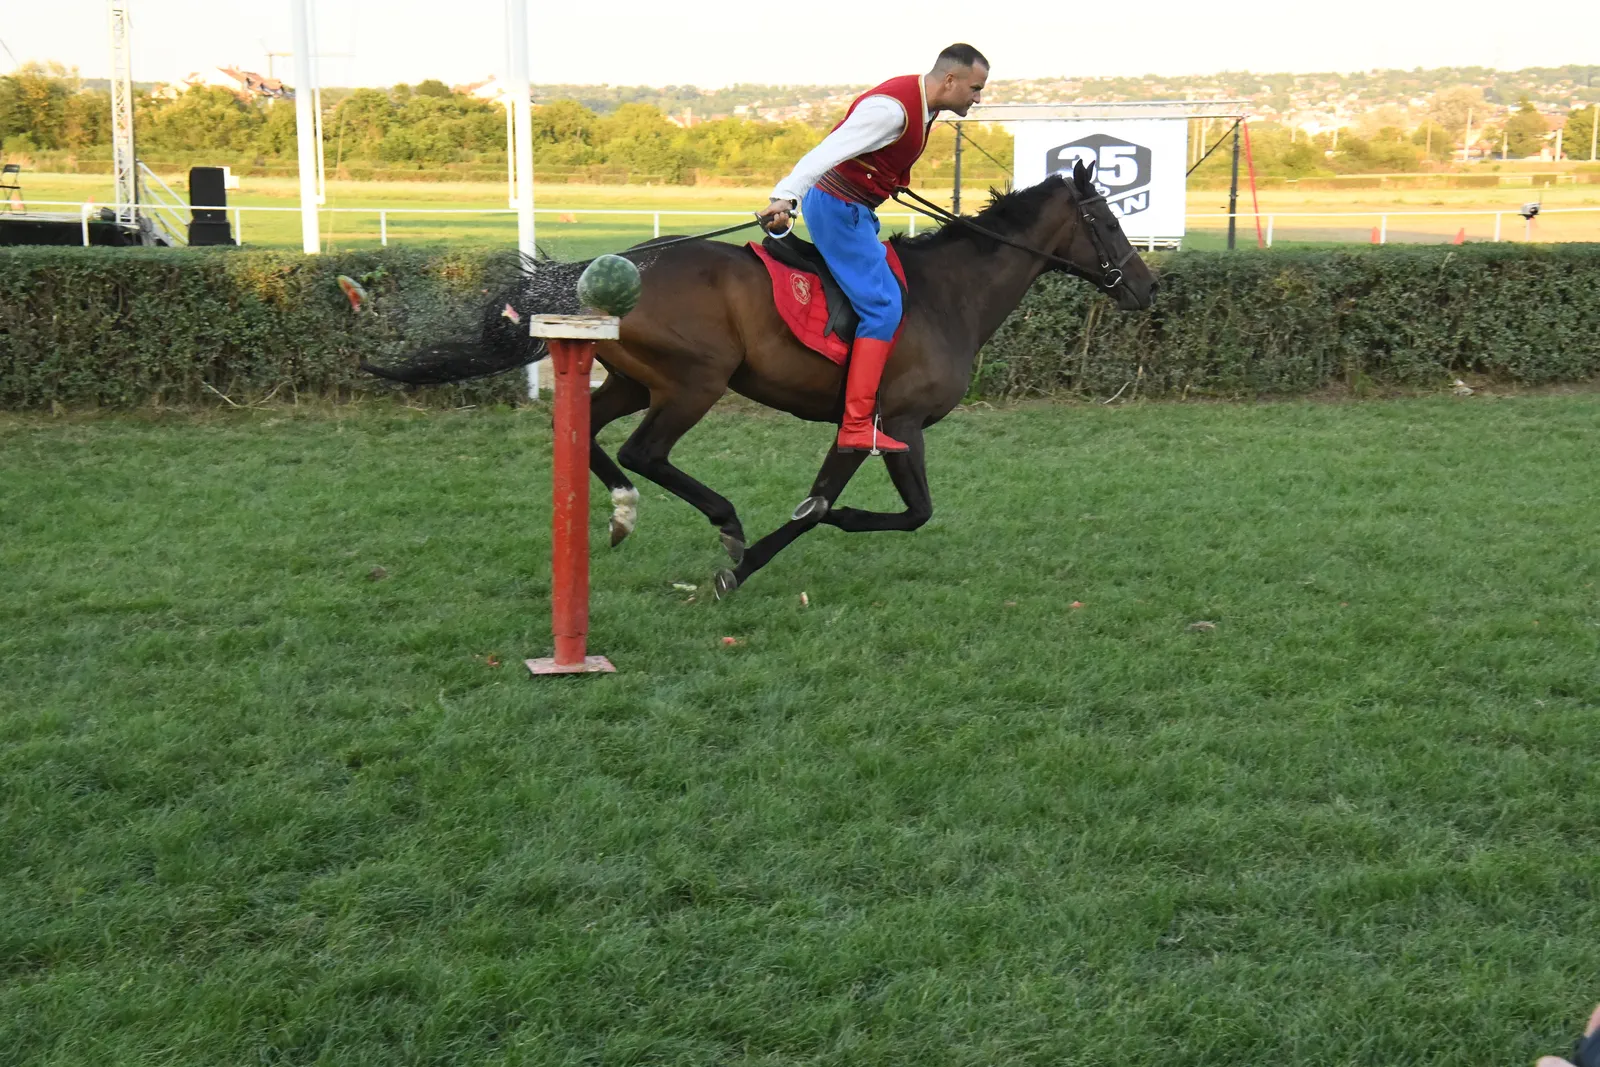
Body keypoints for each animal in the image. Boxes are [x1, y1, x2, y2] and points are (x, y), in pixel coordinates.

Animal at [367, 161, 1157, 597]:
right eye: (1108, 217)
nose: (1147, 287)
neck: (947, 295)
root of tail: (607, 268)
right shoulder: (890, 422)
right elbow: (872, 509)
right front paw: (750, 563)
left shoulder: (873, 427)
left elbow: (856, 504)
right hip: (696, 380)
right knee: (644, 451)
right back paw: (723, 521)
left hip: (637, 380)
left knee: (590, 434)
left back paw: (623, 511)